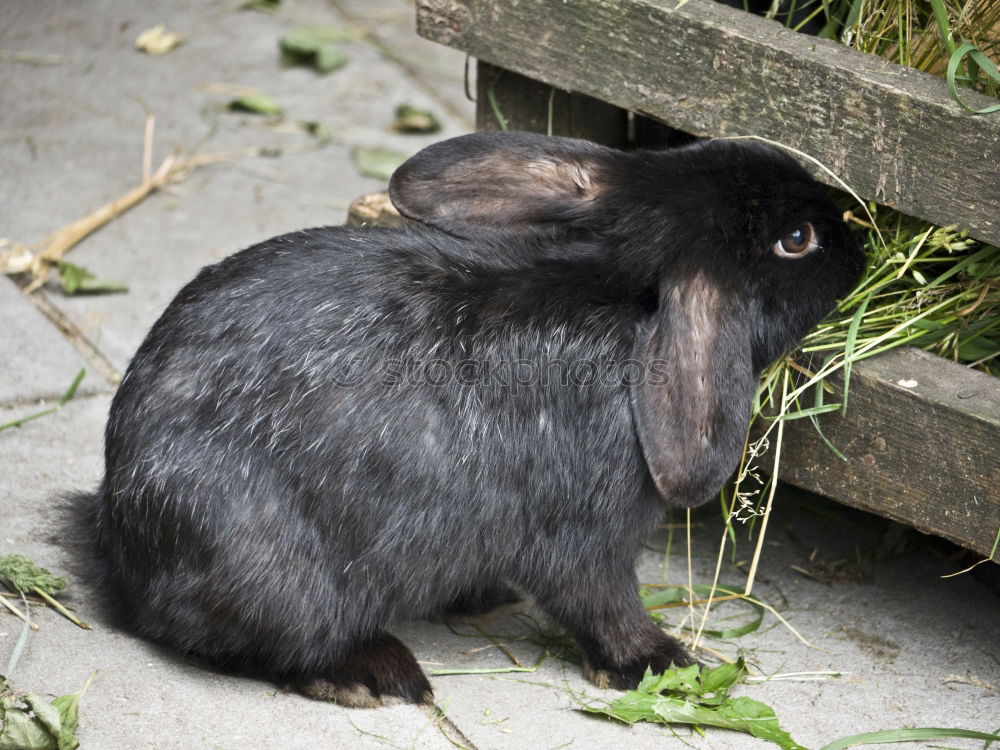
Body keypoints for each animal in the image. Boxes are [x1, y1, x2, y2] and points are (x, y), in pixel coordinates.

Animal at [72, 131, 868, 712]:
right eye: (797, 239)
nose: (855, 232)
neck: (613, 296)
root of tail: (123, 544)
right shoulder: (588, 538)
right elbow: (603, 602)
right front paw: (662, 662)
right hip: (273, 574)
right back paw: (373, 673)